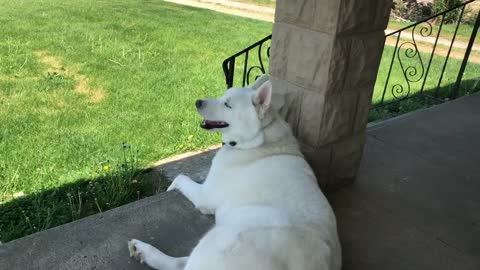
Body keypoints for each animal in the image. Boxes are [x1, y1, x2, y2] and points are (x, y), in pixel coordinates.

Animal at [128, 75, 342, 270]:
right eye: (223, 96)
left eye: (227, 104)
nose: (197, 102)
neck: (257, 139)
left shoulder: (205, 196)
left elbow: (180, 178)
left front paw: (169, 187)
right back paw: (142, 251)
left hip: (219, 237)